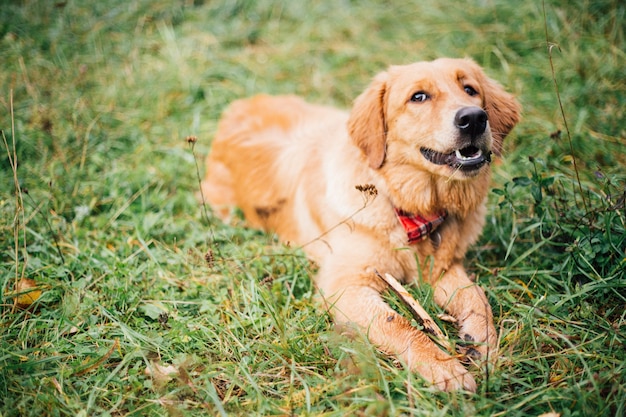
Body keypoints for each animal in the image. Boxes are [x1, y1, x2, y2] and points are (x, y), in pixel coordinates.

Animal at [202, 57, 520, 390]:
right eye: (418, 97)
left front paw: (483, 345)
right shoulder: (346, 284)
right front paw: (443, 366)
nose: (474, 118)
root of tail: (236, 107)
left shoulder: (443, 268)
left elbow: (477, 297)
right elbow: (399, 324)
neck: (409, 206)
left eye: (469, 89)